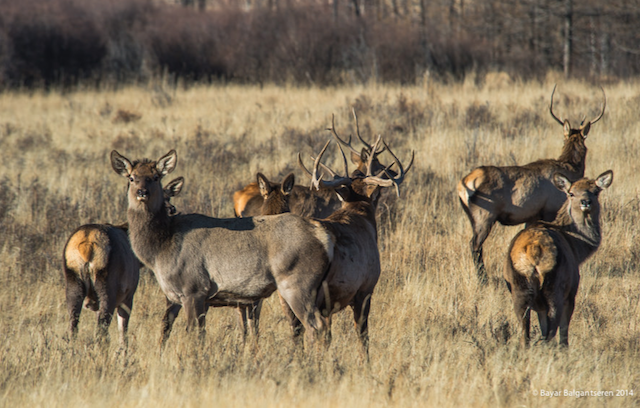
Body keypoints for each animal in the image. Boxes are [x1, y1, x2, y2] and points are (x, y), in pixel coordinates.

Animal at [62, 177, 184, 342]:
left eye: (169, 196)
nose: (172, 209)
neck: (139, 262)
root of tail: (87, 245)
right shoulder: (129, 292)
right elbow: (123, 331)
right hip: (108, 283)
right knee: (101, 329)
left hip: (73, 278)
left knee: (73, 326)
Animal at [112, 150, 338, 348]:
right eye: (131, 178)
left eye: (156, 176)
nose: (142, 192)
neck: (160, 249)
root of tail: (324, 237)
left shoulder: (194, 288)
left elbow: (193, 336)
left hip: (297, 283)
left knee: (316, 326)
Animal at [456, 86, 604, 284]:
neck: (570, 168)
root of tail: (464, 183)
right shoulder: (550, 210)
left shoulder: (532, 215)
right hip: (484, 216)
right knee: (475, 245)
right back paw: (483, 279)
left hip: (471, 216)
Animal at [502, 171, 612, 346]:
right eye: (571, 193)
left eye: (595, 192)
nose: (585, 202)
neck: (577, 249)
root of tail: (534, 251)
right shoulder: (572, 291)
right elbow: (564, 331)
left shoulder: (539, 306)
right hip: (555, 286)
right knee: (552, 331)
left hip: (519, 287)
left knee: (525, 334)